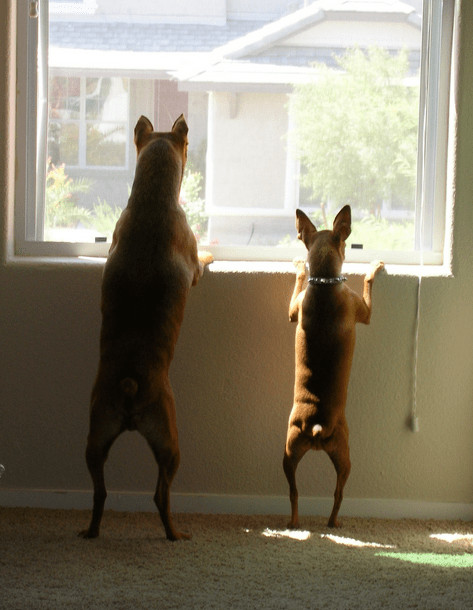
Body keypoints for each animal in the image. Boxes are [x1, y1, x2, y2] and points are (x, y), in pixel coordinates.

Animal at [79, 115, 212, 540]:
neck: (152, 198)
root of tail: (130, 383)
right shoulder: (193, 263)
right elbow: (202, 260)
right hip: (170, 443)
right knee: (160, 496)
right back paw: (175, 534)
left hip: (95, 439)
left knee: (100, 493)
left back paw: (91, 531)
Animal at [282, 205, 382, 528]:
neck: (324, 283)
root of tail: (316, 427)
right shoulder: (365, 312)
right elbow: (368, 282)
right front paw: (374, 266)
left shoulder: (294, 310)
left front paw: (299, 266)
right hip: (345, 456)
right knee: (338, 494)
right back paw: (333, 522)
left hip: (289, 454)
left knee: (294, 493)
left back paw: (294, 523)